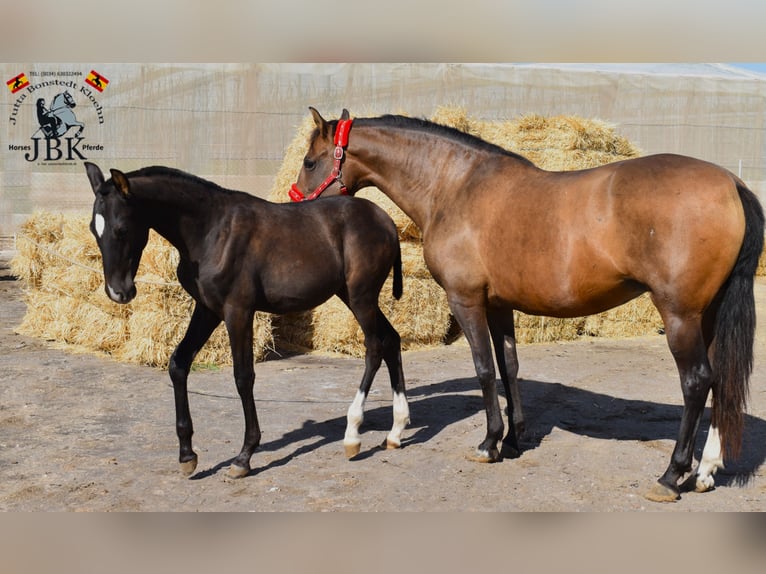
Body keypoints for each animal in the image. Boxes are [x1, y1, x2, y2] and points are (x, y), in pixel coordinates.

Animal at [83, 163, 408, 482]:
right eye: (93, 230)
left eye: (121, 229)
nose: (118, 292)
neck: (211, 230)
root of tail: (386, 221)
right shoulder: (207, 309)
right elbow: (178, 363)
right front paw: (187, 455)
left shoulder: (238, 311)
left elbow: (243, 376)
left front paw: (244, 457)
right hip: (353, 296)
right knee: (391, 340)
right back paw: (395, 431)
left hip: (361, 296)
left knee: (374, 347)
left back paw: (352, 435)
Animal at [292, 108, 764, 504]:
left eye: (310, 161)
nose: (296, 201)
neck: (455, 185)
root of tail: (732, 184)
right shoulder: (499, 306)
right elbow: (509, 368)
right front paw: (515, 439)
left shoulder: (466, 300)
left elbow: (484, 369)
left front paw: (489, 443)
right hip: (708, 315)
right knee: (720, 380)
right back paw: (705, 471)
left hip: (680, 315)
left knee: (697, 382)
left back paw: (671, 475)